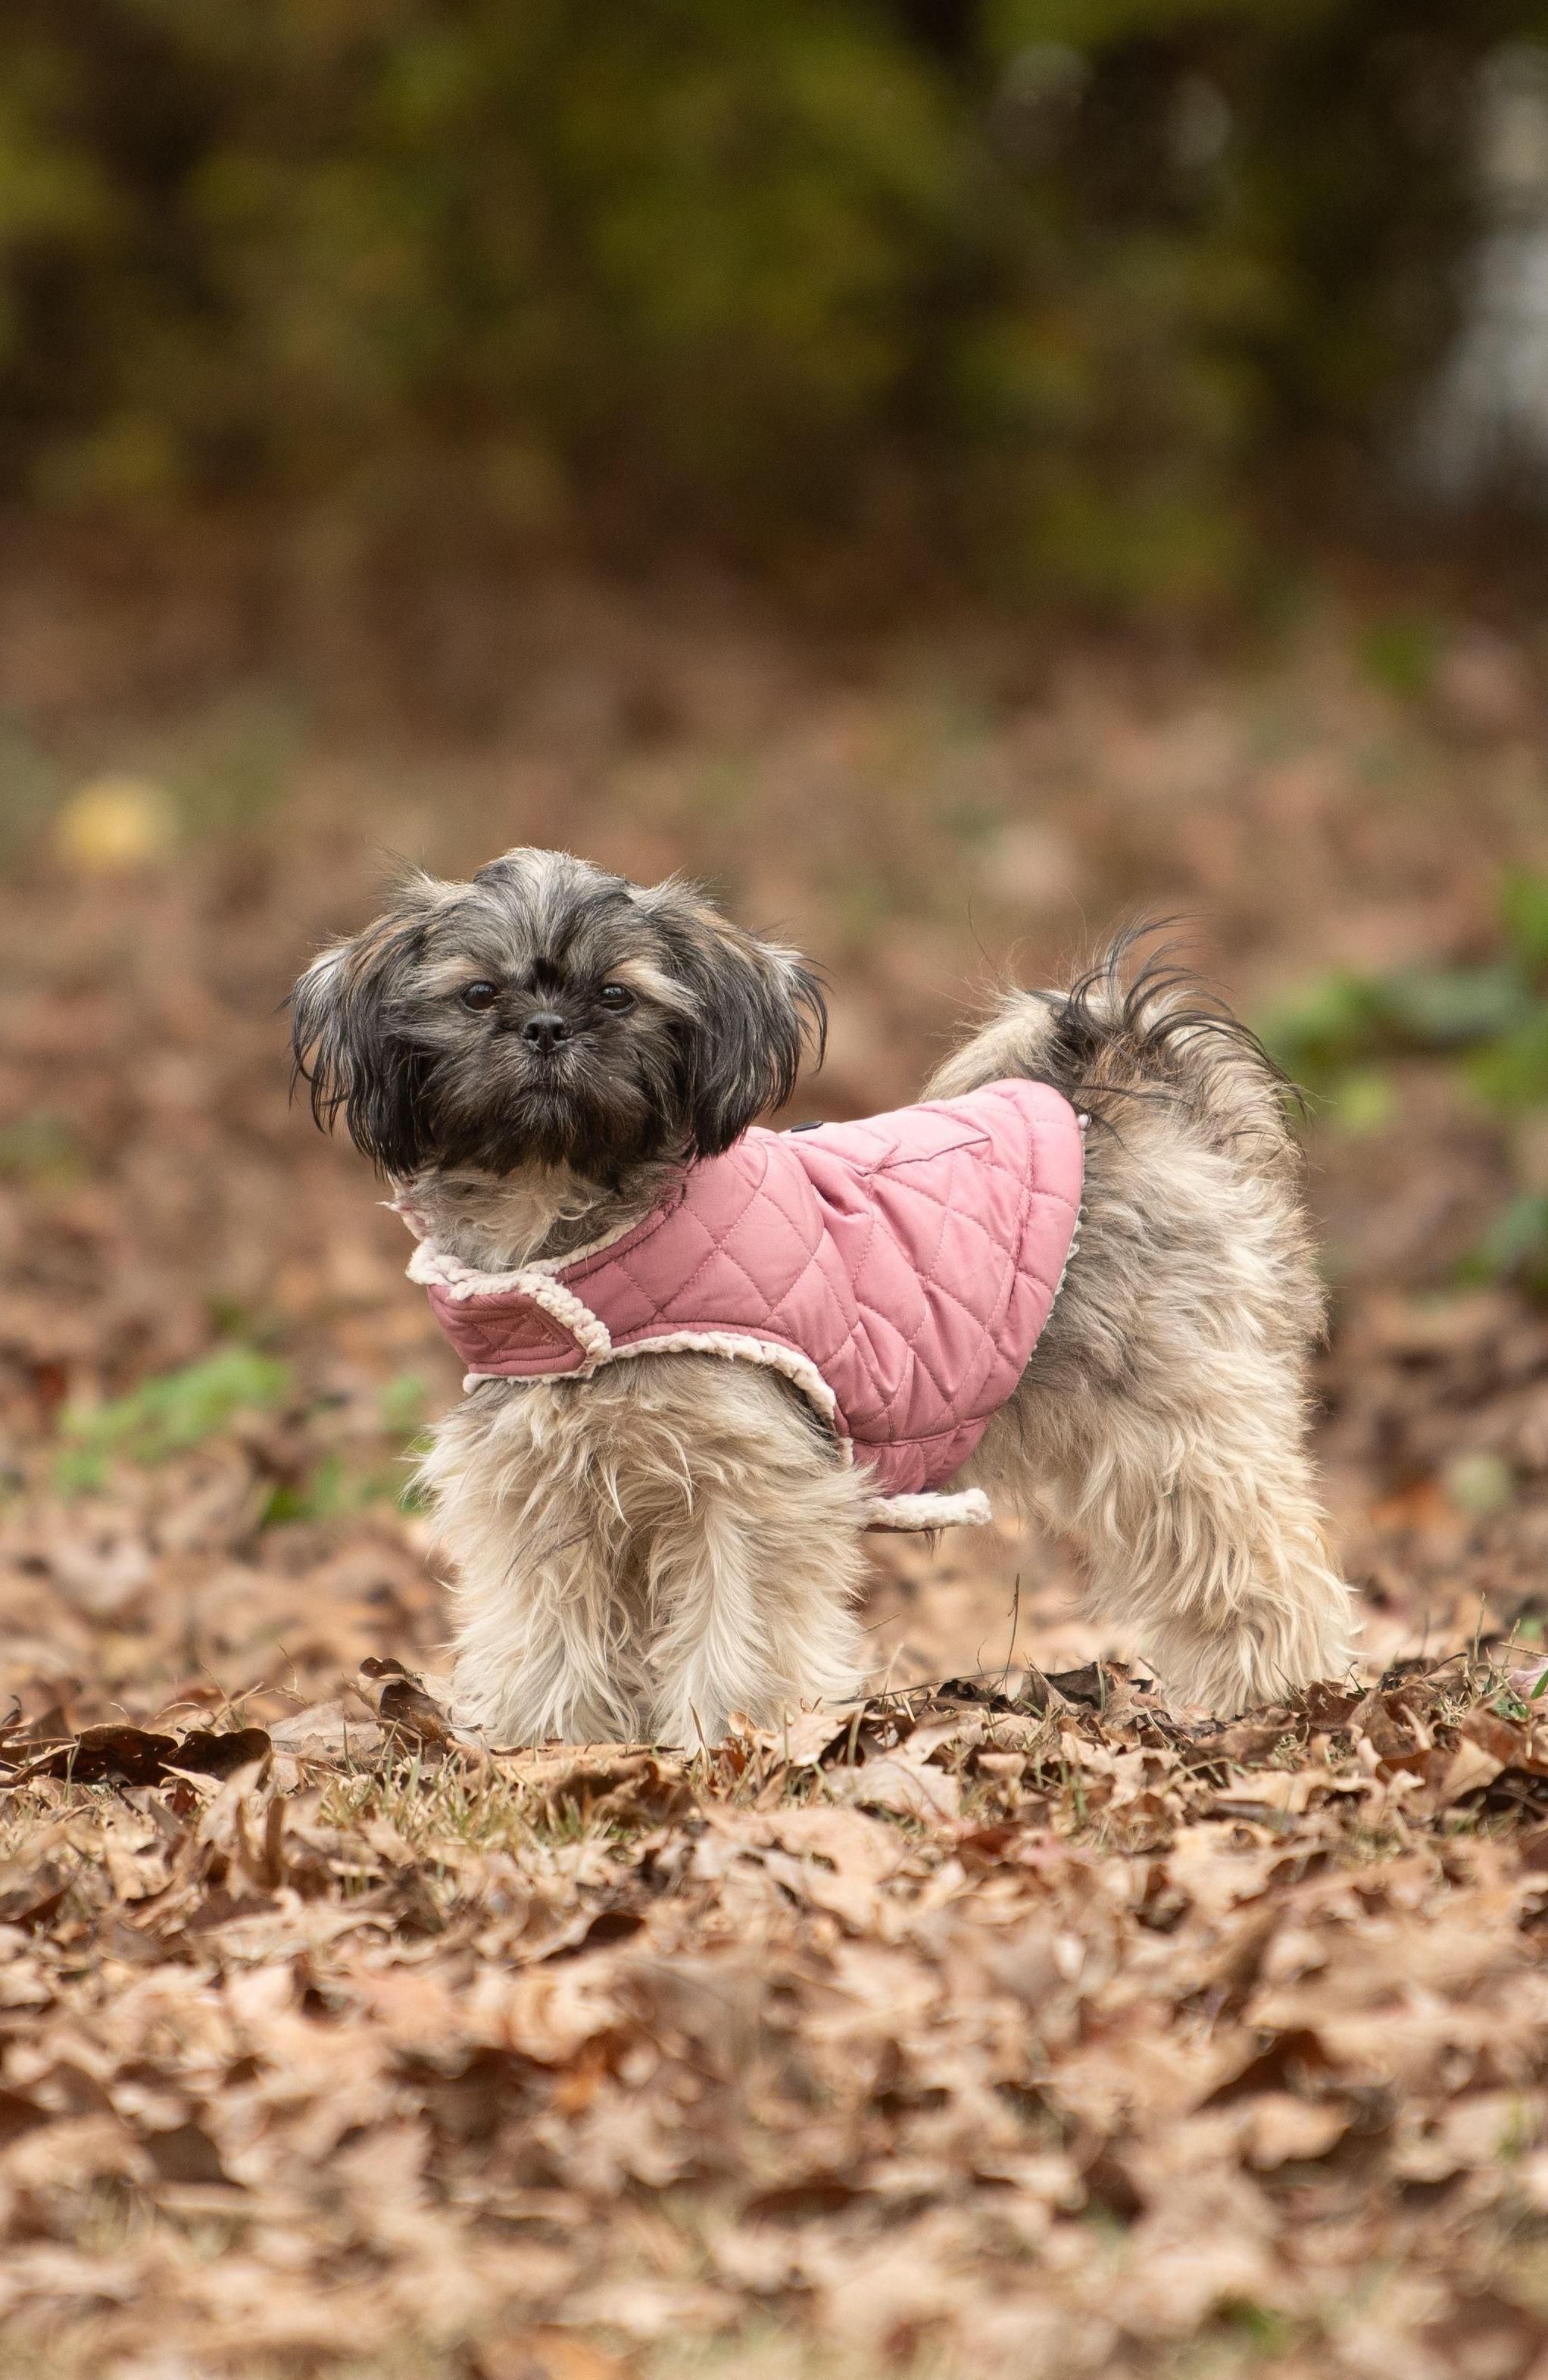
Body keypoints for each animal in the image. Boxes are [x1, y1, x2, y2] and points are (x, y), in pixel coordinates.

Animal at [293, 847, 1359, 1741]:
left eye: (617, 995)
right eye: (477, 994)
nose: (546, 1027)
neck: (577, 1236)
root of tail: (1131, 1092)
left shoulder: (754, 1483)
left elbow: (738, 1625)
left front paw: (725, 1736)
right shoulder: (545, 1488)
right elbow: (545, 1632)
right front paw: (548, 1742)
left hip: (1173, 1427)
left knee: (1260, 1559)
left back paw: (1285, 1695)